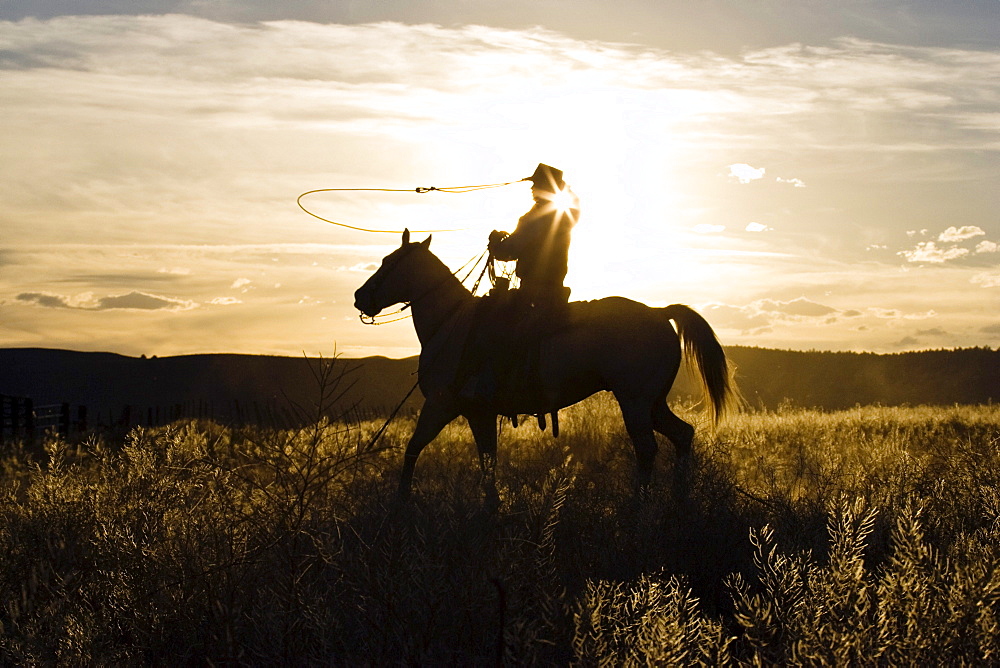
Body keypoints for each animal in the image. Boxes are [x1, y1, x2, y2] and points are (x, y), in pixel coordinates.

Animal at [354, 230, 744, 506]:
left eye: (390, 262)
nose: (359, 297)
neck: (451, 324)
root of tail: (660, 312)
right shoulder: (478, 413)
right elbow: (487, 463)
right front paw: (491, 508)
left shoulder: (441, 405)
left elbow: (413, 449)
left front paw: (401, 503)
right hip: (653, 402)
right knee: (682, 435)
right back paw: (679, 499)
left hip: (634, 401)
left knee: (647, 449)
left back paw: (639, 508)